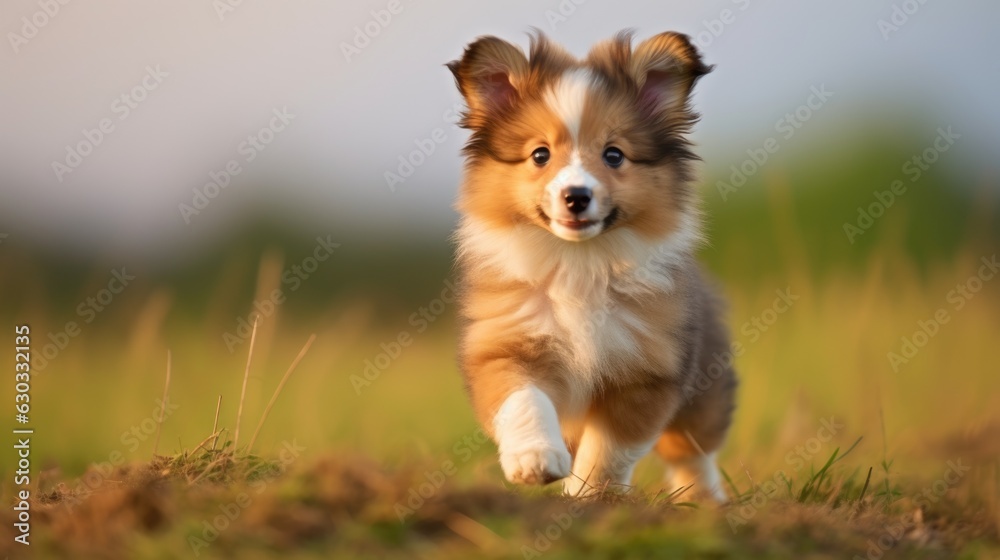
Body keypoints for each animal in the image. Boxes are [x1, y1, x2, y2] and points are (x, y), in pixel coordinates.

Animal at [446, 31, 736, 504]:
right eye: (540, 155)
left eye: (614, 155)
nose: (576, 196)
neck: (577, 265)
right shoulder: (505, 346)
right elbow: (524, 401)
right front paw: (535, 461)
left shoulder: (646, 374)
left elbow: (608, 452)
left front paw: (588, 497)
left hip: (705, 390)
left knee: (692, 451)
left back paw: (703, 501)